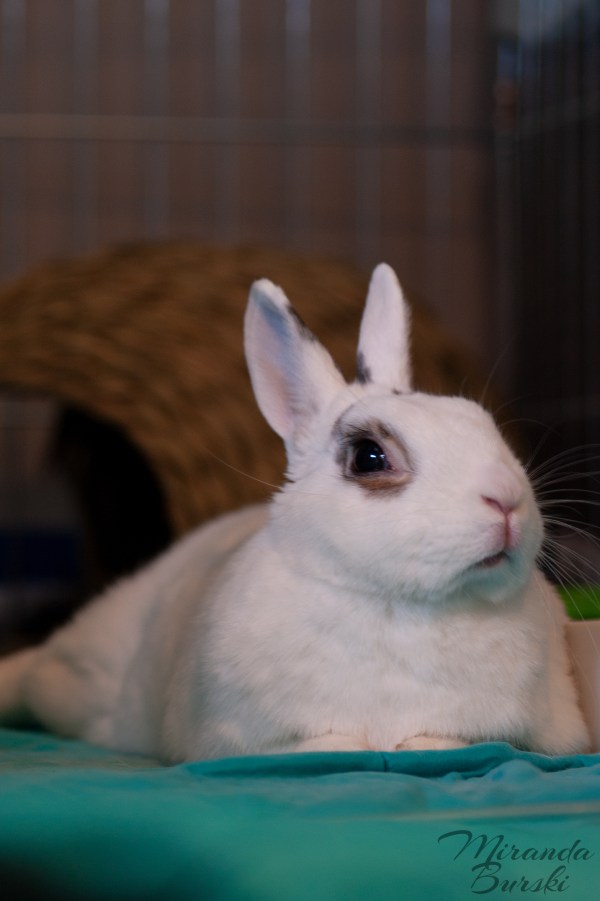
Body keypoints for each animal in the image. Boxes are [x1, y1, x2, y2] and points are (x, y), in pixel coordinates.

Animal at [0, 264, 589, 761]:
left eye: (482, 423)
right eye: (369, 457)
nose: (506, 500)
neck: (398, 605)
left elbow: (453, 742)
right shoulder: (246, 741)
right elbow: (327, 745)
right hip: (76, 677)